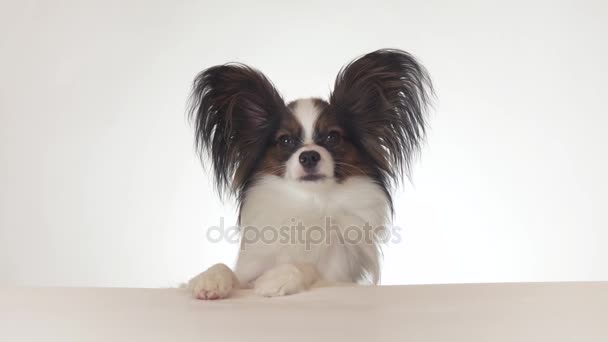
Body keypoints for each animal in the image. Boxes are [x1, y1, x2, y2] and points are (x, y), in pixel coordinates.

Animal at [186, 48, 432, 300]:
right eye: (285, 140)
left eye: (333, 137)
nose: (309, 156)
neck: (311, 202)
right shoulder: (249, 273)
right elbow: (226, 269)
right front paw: (209, 279)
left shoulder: (337, 276)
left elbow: (306, 267)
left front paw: (276, 278)